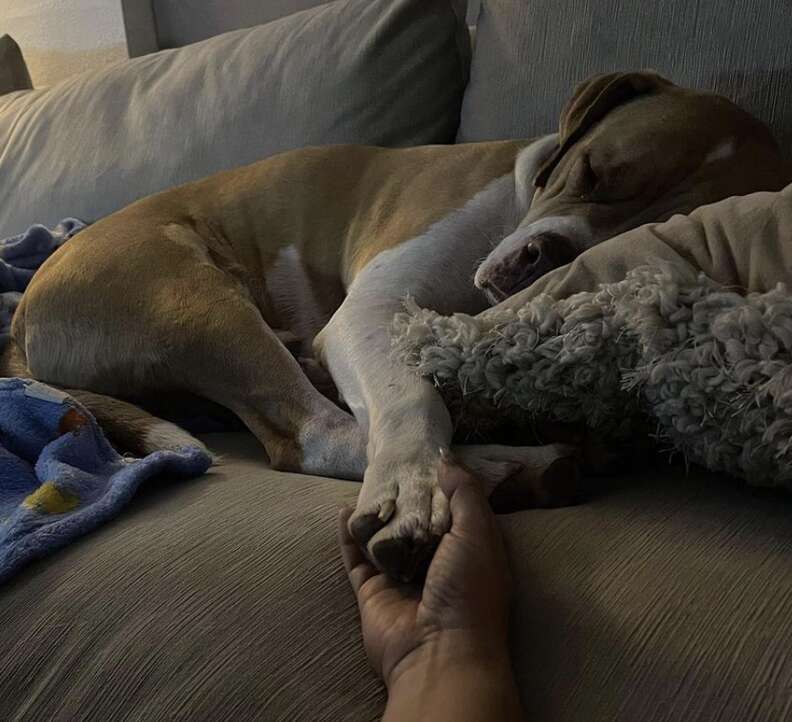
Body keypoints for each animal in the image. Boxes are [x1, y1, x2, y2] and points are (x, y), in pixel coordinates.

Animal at [4, 71, 784, 580]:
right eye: (590, 172)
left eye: (659, 227)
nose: (544, 256)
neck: (520, 193)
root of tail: (24, 312)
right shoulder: (372, 312)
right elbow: (411, 399)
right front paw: (413, 487)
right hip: (195, 297)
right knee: (315, 433)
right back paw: (509, 467)